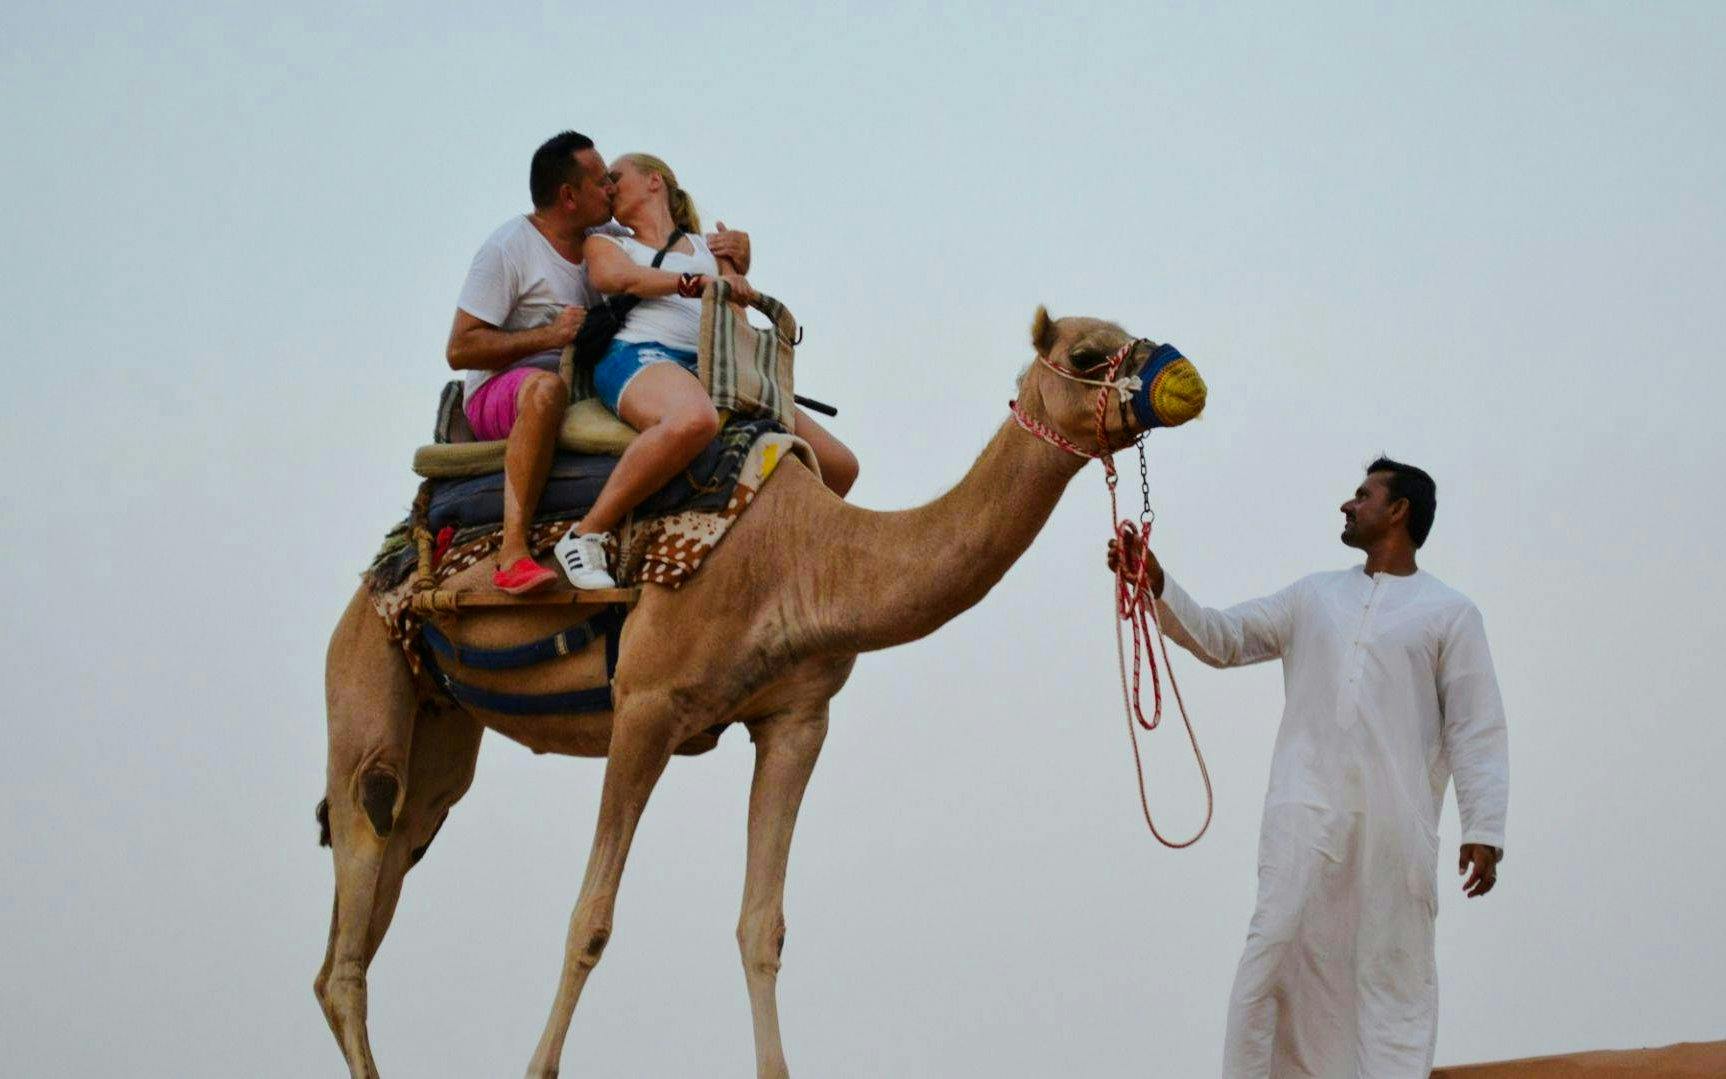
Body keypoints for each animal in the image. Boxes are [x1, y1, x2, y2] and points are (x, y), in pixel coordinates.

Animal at [315, 307, 1206, 1078]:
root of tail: (376, 571)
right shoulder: (646, 703)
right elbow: (589, 918)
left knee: (374, 884)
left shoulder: (795, 717)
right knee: (356, 884)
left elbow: (761, 926)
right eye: (1088, 354)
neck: (799, 555)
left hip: (441, 729)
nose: (1185, 379)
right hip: (363, 677)